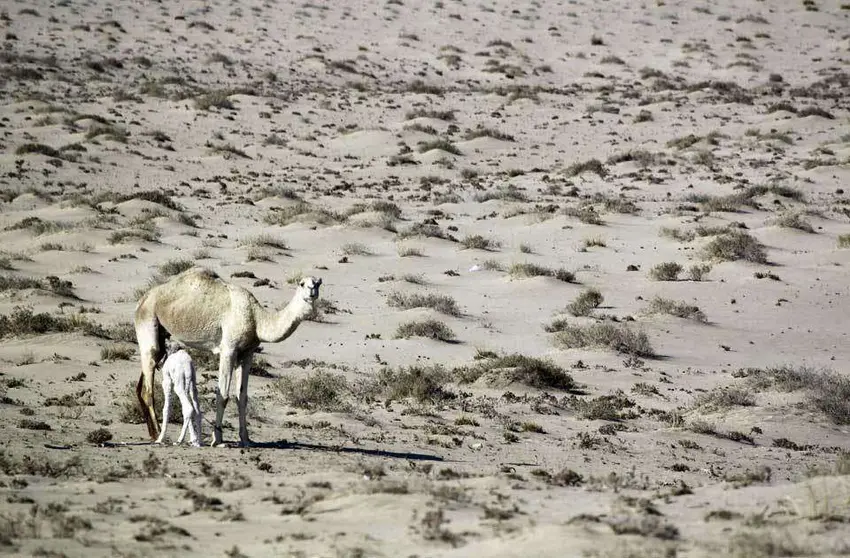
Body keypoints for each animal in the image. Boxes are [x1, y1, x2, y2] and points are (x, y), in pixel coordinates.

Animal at [132, 270, 322, 448]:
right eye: (302, 283)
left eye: (319, 282)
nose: (312, 289)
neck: (256, 319)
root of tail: (142, 300)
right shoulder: (228, 350)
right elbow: (222, 395)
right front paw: (217, 439)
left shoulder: (247, 353)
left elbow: (242, 397)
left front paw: (246, 439)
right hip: (147, 322)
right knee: (149, 388)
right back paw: (158, 435)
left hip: (161, 336)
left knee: (142, 384)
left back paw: (153, 433)